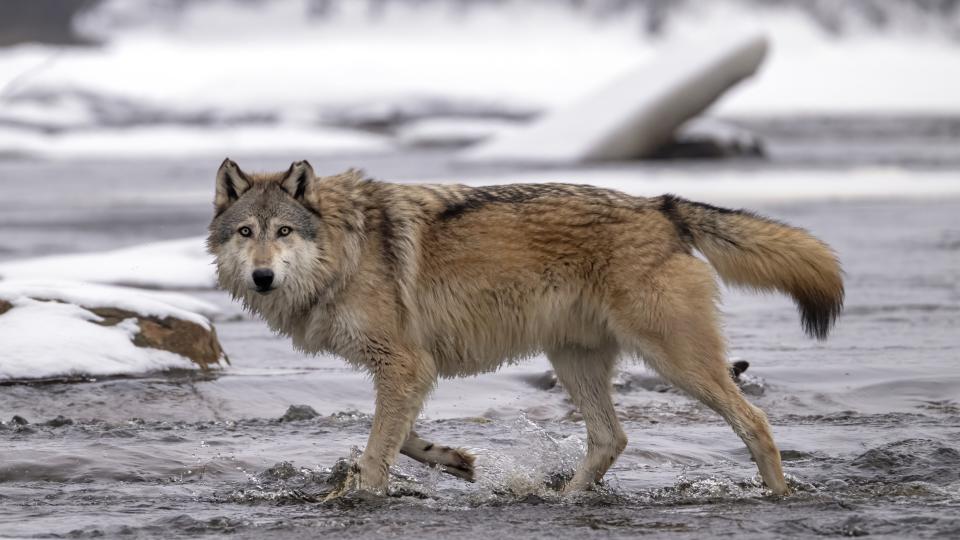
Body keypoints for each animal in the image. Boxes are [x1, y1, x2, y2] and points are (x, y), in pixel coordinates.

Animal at [208, 158, 840, 496]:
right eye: (247, 233)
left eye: (283, 232)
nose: (263, 276)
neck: (347, 247)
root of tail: (663, 206)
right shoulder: (410, 371)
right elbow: (398, 437)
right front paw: (456, 460)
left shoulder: (406, 364)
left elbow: (374, 452)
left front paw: (365, 495)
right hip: (574, 360)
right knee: (611, 438)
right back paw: (565, 499)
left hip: (677, 363)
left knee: (755, 422)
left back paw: (778, 496)